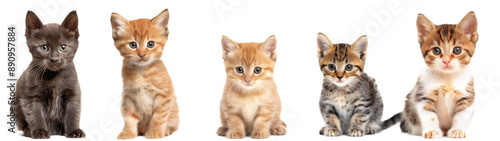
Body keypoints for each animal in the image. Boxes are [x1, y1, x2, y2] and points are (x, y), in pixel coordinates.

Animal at [12, 10, 85, 139]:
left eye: (63, 47)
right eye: (44, 47)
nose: (54, 59)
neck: (54, 76)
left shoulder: (73, 92)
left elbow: (73, 113)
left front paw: (74, 131)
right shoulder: (31, 96)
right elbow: (35, 115)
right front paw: (39, 131)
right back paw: (28, 131)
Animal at [111, 9, 180, 140]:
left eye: (151, 44)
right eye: (133, 45)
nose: (142, 54)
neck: (141, 72)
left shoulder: (164, 95)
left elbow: (159, 116)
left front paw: (155, 132)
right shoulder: (129, 96)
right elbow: (129, 117)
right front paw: (128, 132)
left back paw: (167, 130)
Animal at [400, 11, 478, 139]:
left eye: (457, 50)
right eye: (436, 51)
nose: (446, 61)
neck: (447, 79)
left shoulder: (466, 95)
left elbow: (462, 114)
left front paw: (457, 130)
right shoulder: (423, 94)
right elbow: (428, 115)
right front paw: (431, 131)